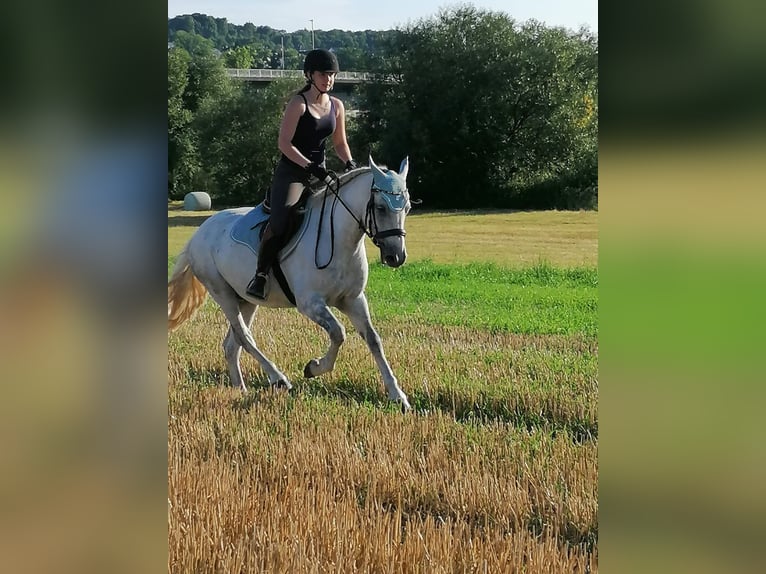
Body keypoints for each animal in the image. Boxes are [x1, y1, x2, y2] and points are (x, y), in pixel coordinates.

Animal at [168, 156, 413, 410]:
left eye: (407, 208)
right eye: (381, 207)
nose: (396, 256)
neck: (338, 238)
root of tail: (199, 234)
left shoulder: (353, 300)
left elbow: (373, 340)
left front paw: (398, 396)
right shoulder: (310, 303)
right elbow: (338, 332)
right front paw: (314, 368)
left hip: (246, 300)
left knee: (231, 346)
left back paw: (241, 390)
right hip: (222, 293)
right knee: (244, 336)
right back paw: (278, 378)